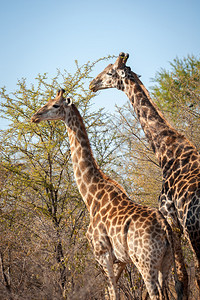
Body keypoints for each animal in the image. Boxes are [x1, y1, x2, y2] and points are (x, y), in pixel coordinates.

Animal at [31, 89, 183, 300]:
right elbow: (110, 292)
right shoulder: (121, 260)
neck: (91, 196)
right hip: (166, 263)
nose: (35, 116)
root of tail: (165, 229)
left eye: (55, 105)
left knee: (155, 293)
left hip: (145, 263)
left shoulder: (102, 253)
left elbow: (112, 292)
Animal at [90, 52, 200, 298]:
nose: (92, 84)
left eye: (110, 72)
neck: (165, 150)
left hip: (196, 232)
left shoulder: (171, 219)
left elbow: (181, 280)